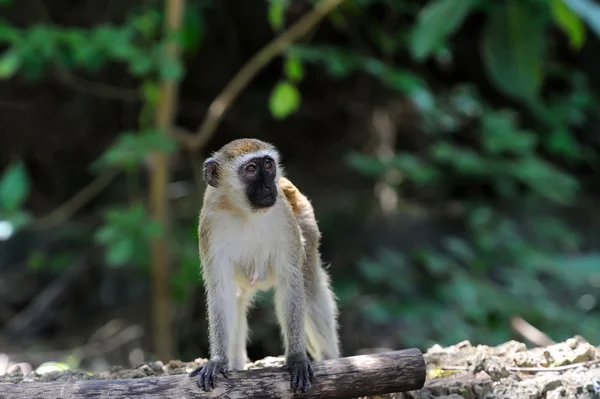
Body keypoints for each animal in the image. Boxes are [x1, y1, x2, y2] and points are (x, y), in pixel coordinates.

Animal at [189, 139, 338, 396]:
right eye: (251, 169)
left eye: (268, 165)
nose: (269, 185)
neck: (245, 212)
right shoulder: (210, 224)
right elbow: (221, 292)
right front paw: (218, 360)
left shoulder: (285, 219)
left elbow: (291, 282)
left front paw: (296, 358)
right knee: (237, 299)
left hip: (305, 222)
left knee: (310, 286)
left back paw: (331, 359)